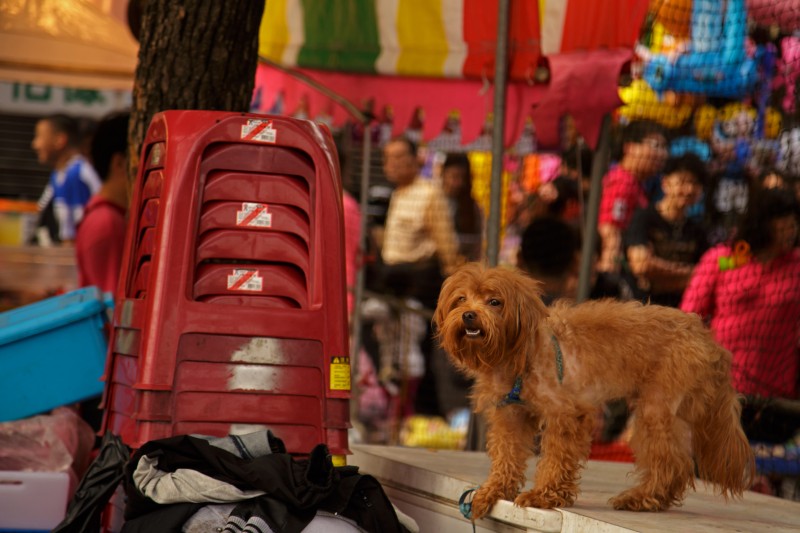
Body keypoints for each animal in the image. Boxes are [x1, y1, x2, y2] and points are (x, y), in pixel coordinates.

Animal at [434, 262, 752, 520]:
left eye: (495, 302)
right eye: (461, 299)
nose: (469, 315)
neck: (523, 353)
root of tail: (706, 337)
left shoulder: (566, 415)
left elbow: (556, 459)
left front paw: (543, 496)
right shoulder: (511, 416)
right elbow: (506, 457)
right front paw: (494, 490)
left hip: (657, 410)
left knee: (672, 463)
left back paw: (642, 498)